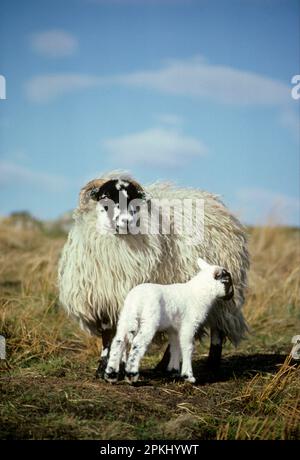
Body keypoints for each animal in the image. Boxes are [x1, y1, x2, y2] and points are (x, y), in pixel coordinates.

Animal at [104, 258, 233, 384]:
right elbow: (188, 347)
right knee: (138, 343)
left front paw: (173, 371)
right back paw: (132, 375)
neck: (200, 293)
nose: (231, 295)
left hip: (126, 317)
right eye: (227, 281)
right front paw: (188, 376)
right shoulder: (189, 324)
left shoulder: (174, 329)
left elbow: (175, 346)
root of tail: (136, 299)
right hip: (149, 320)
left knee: (118, 341)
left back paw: (111, 375)